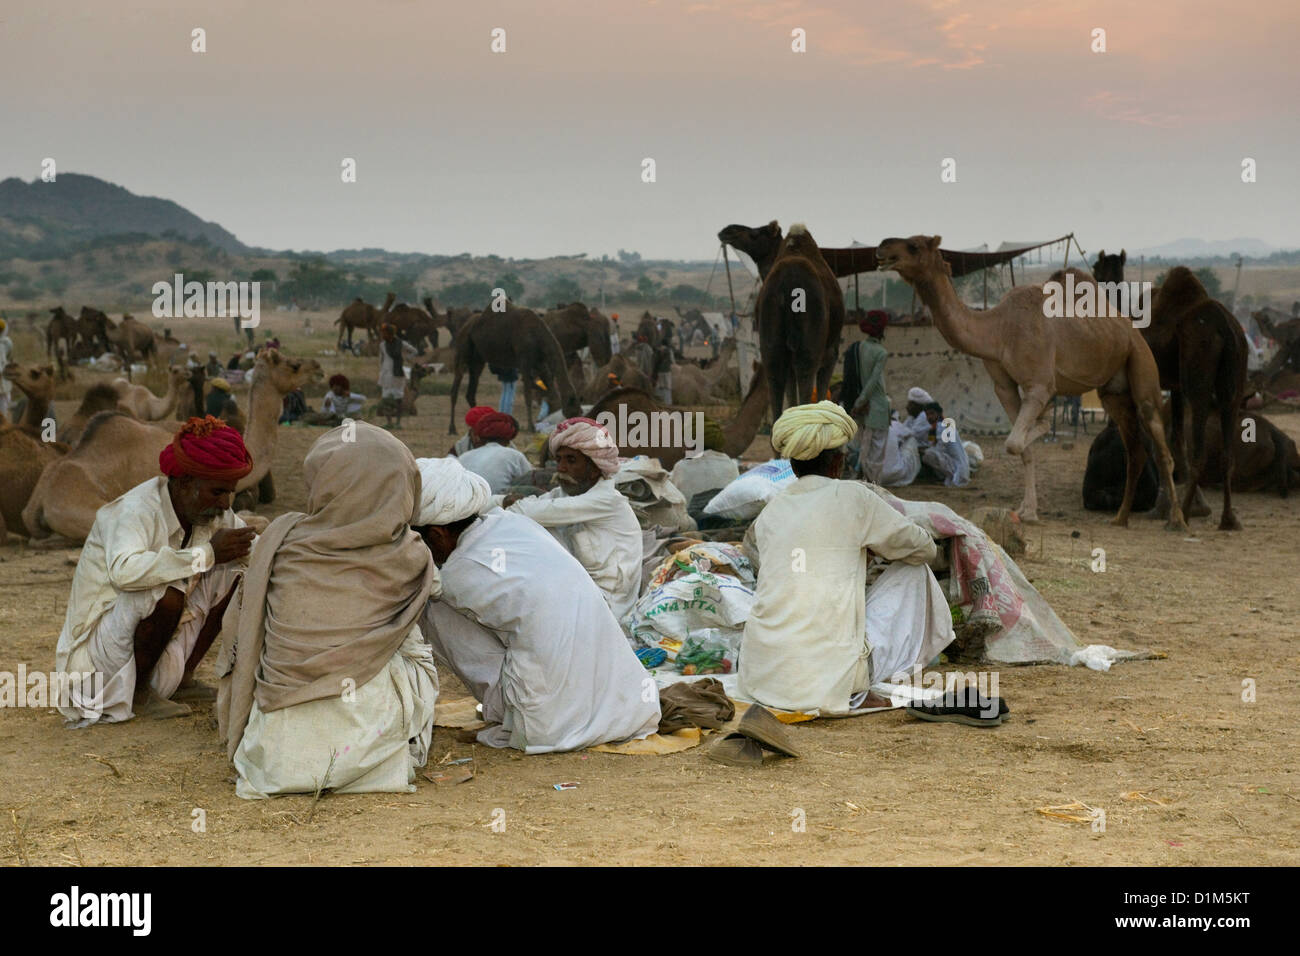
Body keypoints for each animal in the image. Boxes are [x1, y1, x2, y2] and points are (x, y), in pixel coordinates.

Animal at [452, 304, 585, 431]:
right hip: (463, 347)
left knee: (471, 392)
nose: (578, 419)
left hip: (477, 359)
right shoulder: (524, 361)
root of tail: (464, 327)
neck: (538, 336)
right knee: (456, 383)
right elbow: (528, 394)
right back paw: (452, 429)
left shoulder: (540, 363)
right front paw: (531, 427)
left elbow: (552, 391)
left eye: (579, 410)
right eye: (575, 409)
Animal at [717, 222, 847, 424]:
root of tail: (788, 285)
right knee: (805, 378)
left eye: (755, 233)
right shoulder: (831, 351)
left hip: (772, 344)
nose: (727, 231)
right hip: (809, 347)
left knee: (775, 381)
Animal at [873, 232, 1190, 530]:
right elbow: (1023, 449)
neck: (998, 330)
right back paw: (1120, 518)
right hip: (1113, 393)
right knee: (1135, 451)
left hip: (1142, 365)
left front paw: (1043, 424)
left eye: (913, 246)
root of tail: (1130, 328)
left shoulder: (1038, 384)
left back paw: (1176, 520)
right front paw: (1027, 511)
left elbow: (1015, 442)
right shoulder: (1004, 387)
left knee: (1160, 444)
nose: (882, 248)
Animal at [1097, 251, 1248, 530]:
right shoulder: (1174, 387)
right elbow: (1176, 439)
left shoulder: (1158, 385)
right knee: (1227, 450)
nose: (1094, 274)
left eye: (1096, 265)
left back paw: (1185, 515)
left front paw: (1164, 509)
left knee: (1199, 448)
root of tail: (1227, 329)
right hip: (1234, 380)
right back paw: (1228, 519)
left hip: (1198, 374)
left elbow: (1161, 446)